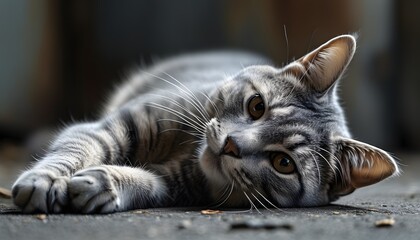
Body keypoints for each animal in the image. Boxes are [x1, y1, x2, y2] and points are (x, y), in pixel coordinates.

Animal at [11, 34, 398, 214]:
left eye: (283, 163)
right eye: (257, 106)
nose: (231, 145)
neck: (186, 149)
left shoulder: (177, 184)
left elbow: (149, 183)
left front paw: (103, 183)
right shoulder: (114, 126)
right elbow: (76, 148)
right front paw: (43, 181)